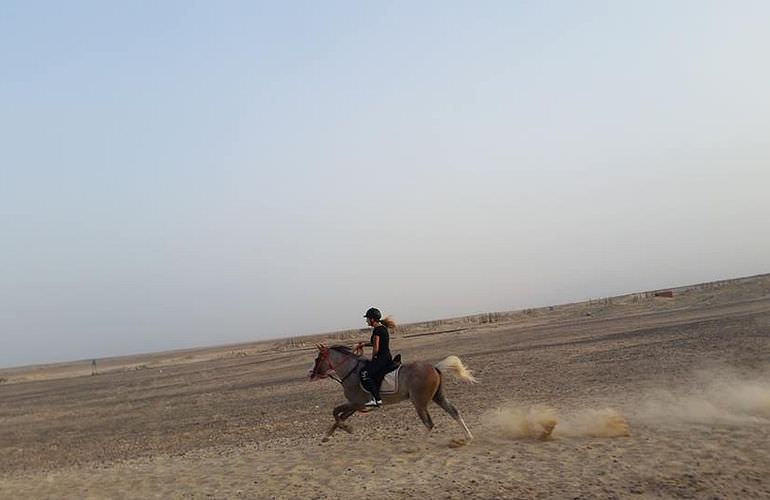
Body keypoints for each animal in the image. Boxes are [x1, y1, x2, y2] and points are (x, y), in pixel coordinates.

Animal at [306, 346, 474, 444]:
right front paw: (327, 436)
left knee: (429, 423)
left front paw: (347, 429)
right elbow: (339, 417)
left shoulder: (356, 403)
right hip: (437, 397)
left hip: (419, 402)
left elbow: (335, 413)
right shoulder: (356, 405)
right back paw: (468, 436)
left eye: (317, 358)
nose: (312, 374)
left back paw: (417, 444)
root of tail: (434, 368)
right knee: (453, 412)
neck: (351, 372)